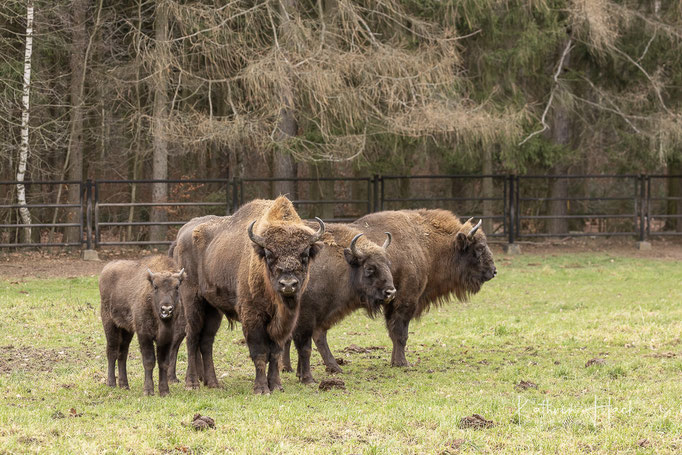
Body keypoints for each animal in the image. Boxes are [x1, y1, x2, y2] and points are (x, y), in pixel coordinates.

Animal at [97, 255, 183, 398]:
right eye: (155, 286)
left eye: (176, 287)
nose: (166, 309)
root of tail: (106, 269)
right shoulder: (144, 335)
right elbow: (149, 361)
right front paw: (148, 391)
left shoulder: (167, 338)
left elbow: (164, 363)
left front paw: (164, 391)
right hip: (109, 323)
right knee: (112, 351)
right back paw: (111, 383)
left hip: (127, 330)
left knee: (122, 354)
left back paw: (124, 385)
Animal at [171, 198, 322, 394]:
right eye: (269, 254)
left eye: (305, 254)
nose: (288, 284)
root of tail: (182, 233)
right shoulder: (252, 316)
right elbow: (260, 352)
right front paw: (261, 389)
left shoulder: (282, 324)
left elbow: (275, 353)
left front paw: (276, 385)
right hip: (192, 300)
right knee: (192, 336)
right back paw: (192, 383)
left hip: (213, 309)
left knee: (206, 341)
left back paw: (213, 383)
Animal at [278, 222, 394, 384]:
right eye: (369, 268)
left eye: (388, 264)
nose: (391, 292)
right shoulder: (306, 317)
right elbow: (306, 345)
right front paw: (308, 377)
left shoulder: (321, 317)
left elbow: (316, 338)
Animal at [310, 208, 496, 368]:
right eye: (479, 248)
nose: (493, 271)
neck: (424, 243)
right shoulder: (406, 300)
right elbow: (400, 333)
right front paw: (402, 363)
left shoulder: (392, 302)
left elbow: (393, 333)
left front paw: (395, 361)